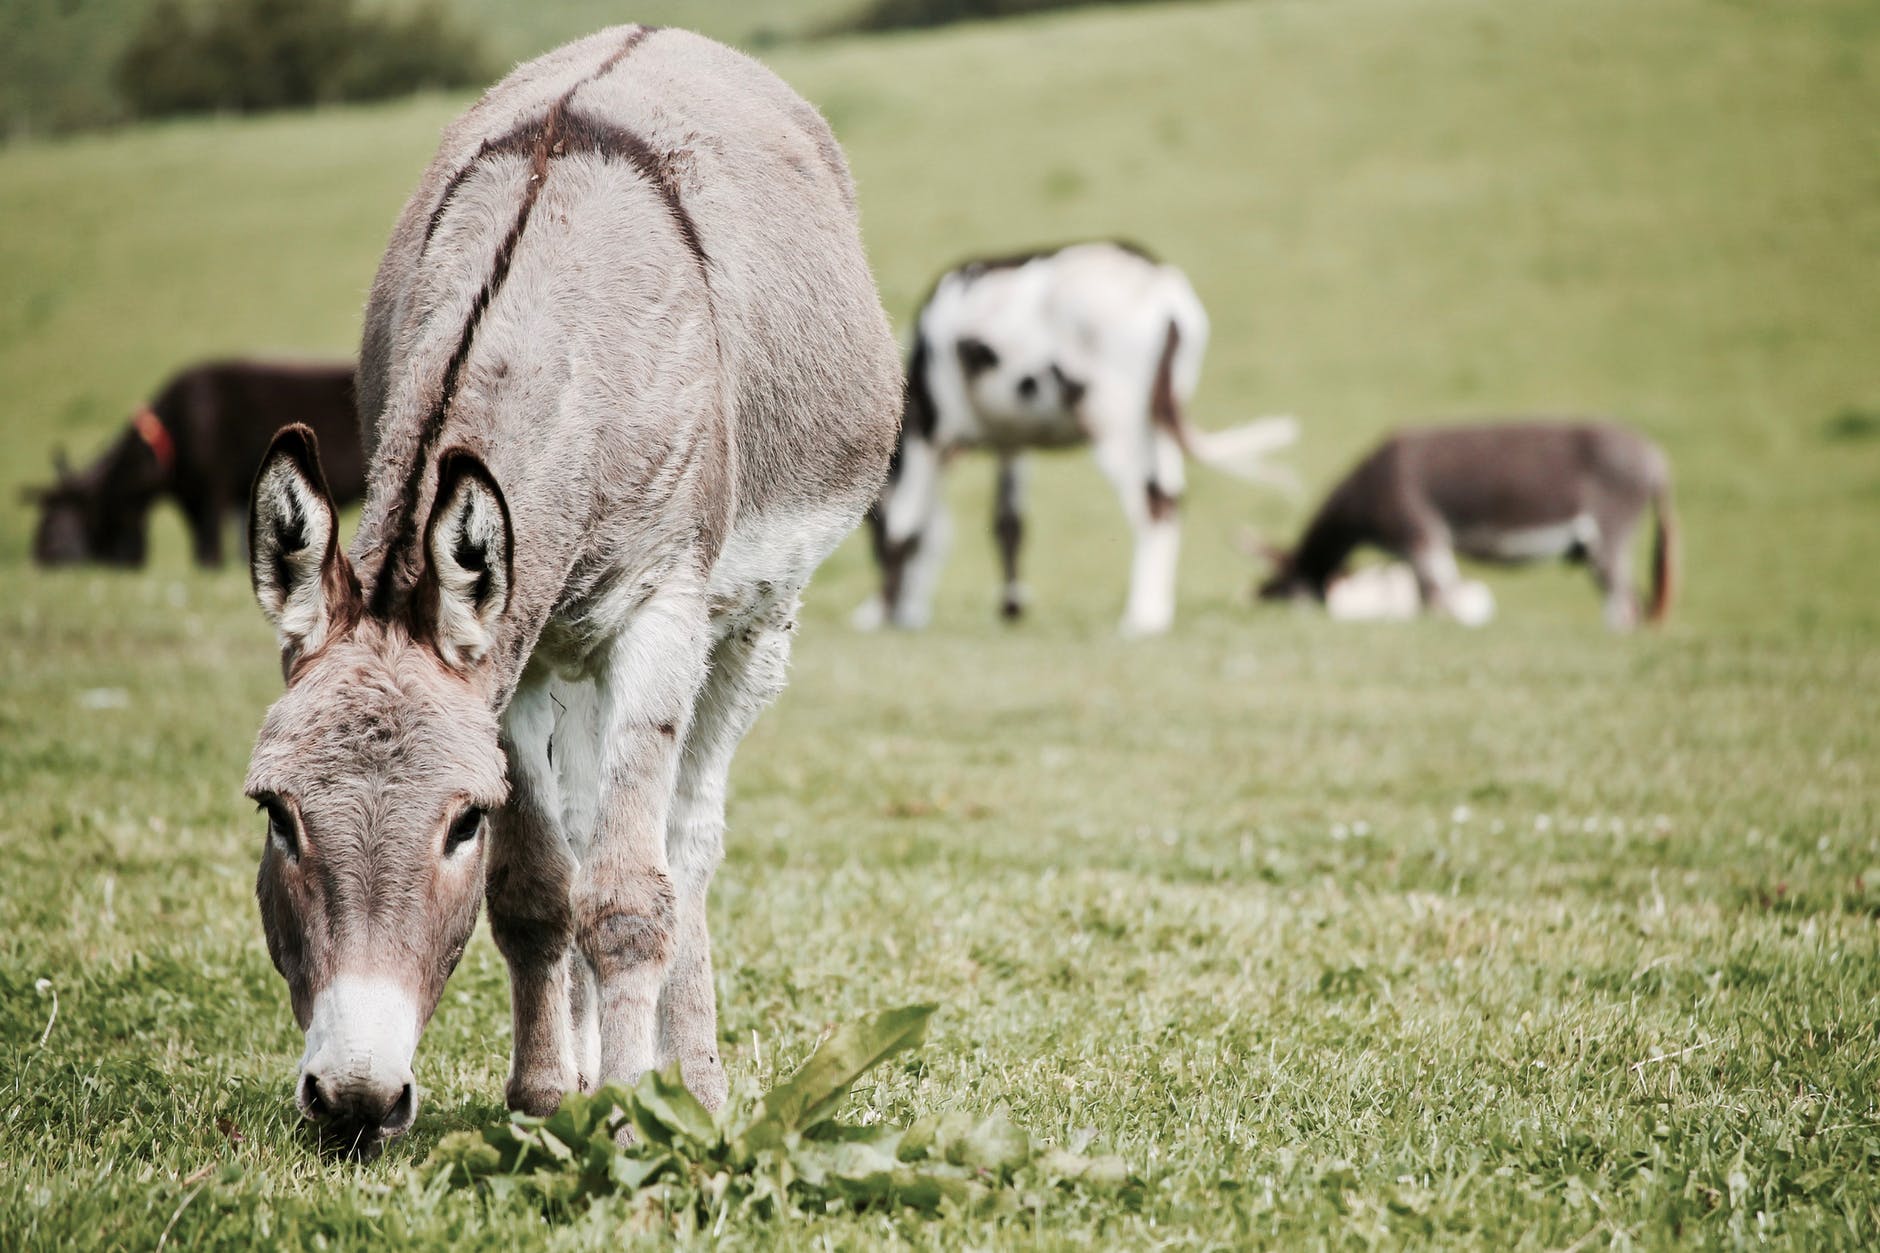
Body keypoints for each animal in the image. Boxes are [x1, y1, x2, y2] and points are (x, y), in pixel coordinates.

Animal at [238, 26, 898, 1151]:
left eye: (462, 820)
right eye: (278, 813)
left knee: (686, 839)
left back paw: (693, 1086)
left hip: (750, 626)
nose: (356, 1102)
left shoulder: (659, 614)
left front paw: (633, 1121)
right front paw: (550, 1096)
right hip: (572, 651)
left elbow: (628, 897)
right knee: (591, 822)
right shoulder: (515, 645)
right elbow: (540, 888)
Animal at [861, 239, 1300, 639]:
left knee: (1152, 505)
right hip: (1158, 421)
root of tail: (1159, 286)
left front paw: (881, 613)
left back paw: (1144, 617)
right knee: (1171, 498)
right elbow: (1007, 524)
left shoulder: (929, 430)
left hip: (1114, 422)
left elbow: (906, 529)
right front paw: (1010, 607)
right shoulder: (1012, 440)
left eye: (869, 525)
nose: (904, 612)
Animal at [1263, 419, 1676, 628]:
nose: (1259, 603)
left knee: (1623, 604)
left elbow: (1436, 597)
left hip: (1608, 536)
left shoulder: (1421, 535)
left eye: (1283, 589)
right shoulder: (1417, 547)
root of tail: (1656, 460)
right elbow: (1432, 596)